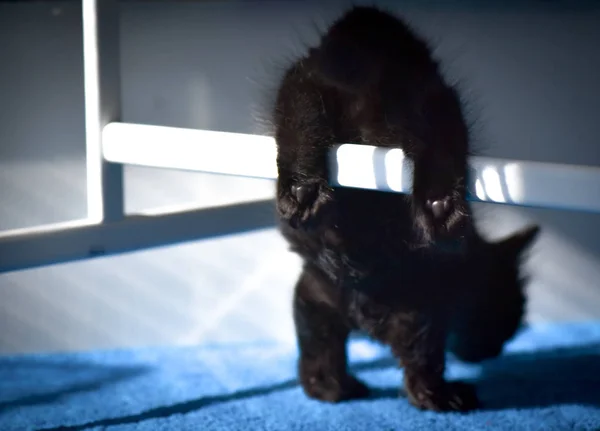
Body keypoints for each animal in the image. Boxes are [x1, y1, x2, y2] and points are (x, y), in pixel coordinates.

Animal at [270, 5, 540, 412]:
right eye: (509, 318)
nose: (495, 351)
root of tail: (364, 29)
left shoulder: (313, 294)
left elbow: (315, 353)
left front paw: (329, 389)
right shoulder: (425, 308)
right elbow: (423, 363)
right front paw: (439, 396)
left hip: (303, 88)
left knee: (301, 125)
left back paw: (302, 190)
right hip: (438, 101)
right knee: (440, 149)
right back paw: (440, 209)